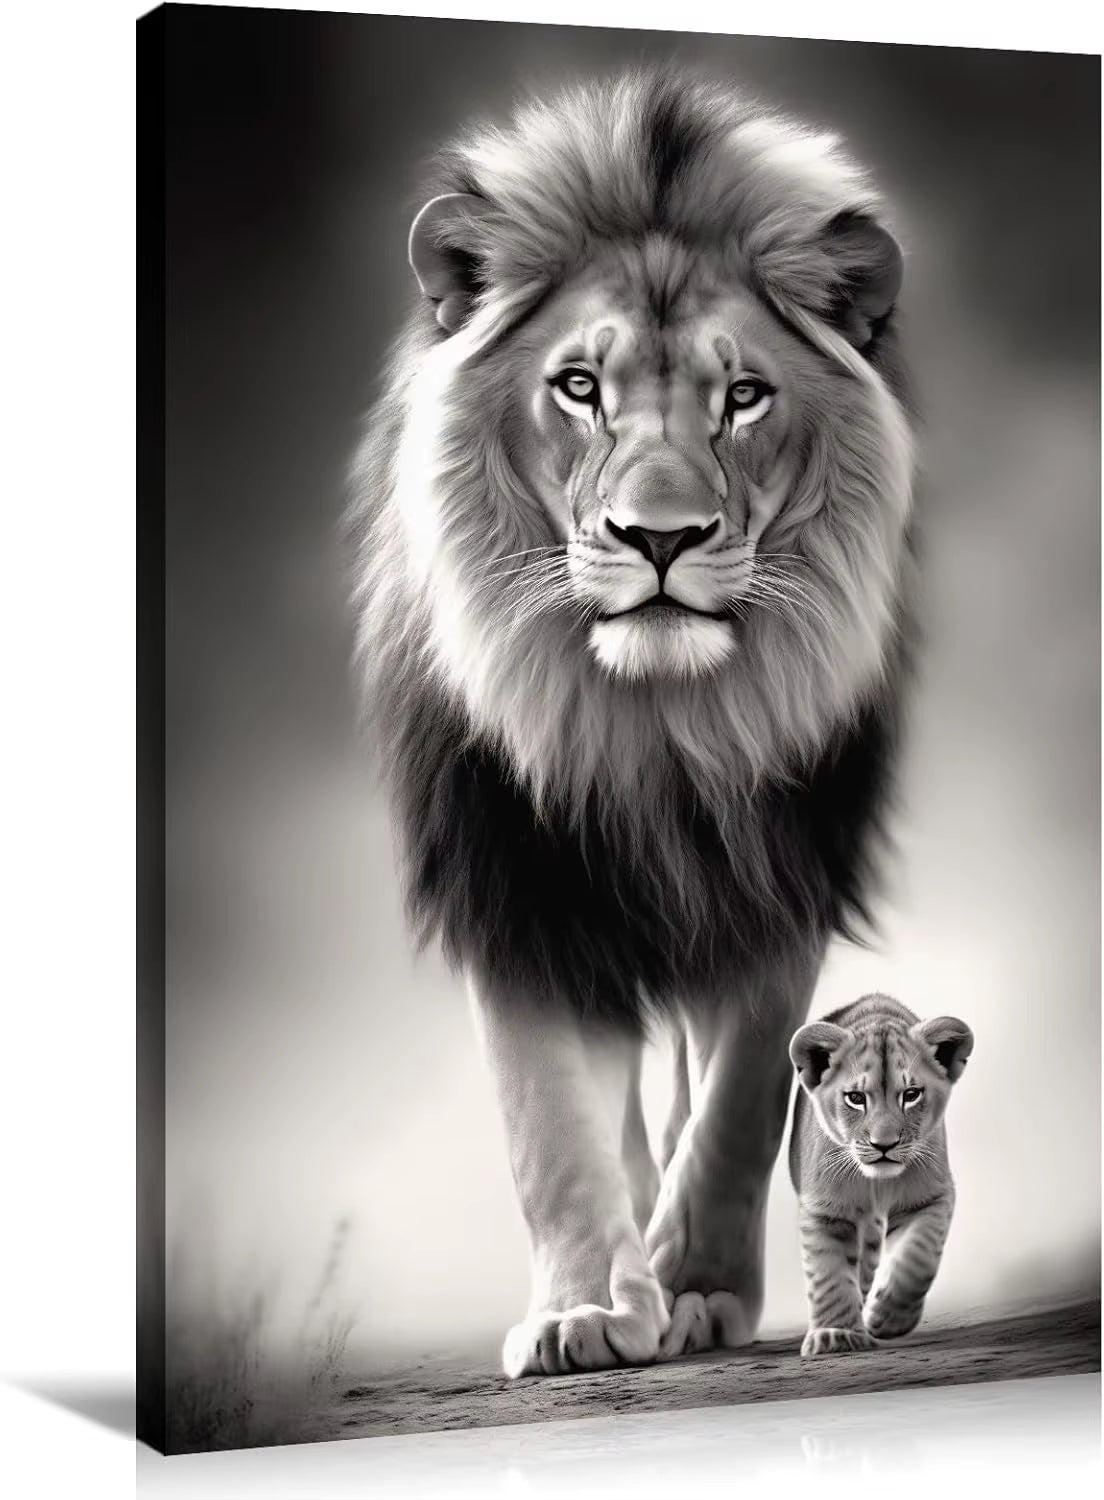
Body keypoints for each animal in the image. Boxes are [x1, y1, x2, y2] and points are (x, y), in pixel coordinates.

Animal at [347, 69, 918, 1378]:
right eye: (579, 388)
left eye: (744, 397)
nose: (661, 538)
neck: (646, 729)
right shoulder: (516, 889)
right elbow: (550, 1128)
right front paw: (587, 1311)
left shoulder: (777, 882)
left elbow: (741, 1101)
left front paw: (695, 1284)